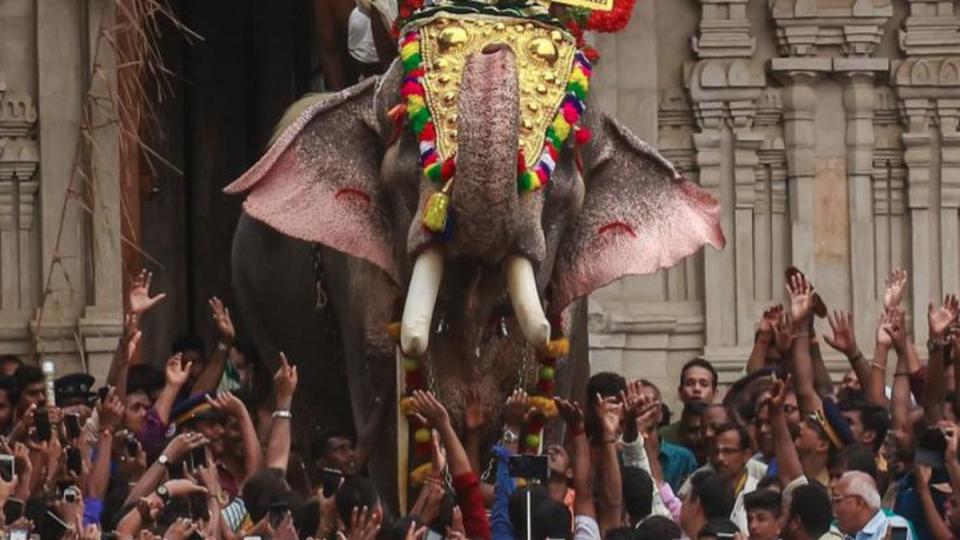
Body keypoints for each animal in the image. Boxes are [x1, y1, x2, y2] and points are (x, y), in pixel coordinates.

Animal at [225, 13, 720, 510]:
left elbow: (544, 418)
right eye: (411, 143)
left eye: (562, 160)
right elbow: (397, 437)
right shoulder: (363, 298)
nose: (492, 44)